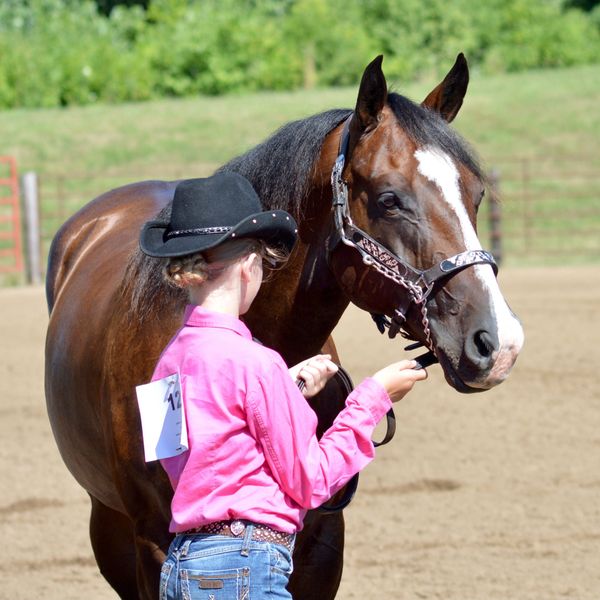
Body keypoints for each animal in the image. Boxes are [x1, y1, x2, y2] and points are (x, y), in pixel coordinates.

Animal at [45, 54, 524, 596]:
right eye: (388, 199)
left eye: (476, 194)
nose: (499, 342)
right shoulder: (152, 547)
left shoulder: (323, 542)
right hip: (107, 524)